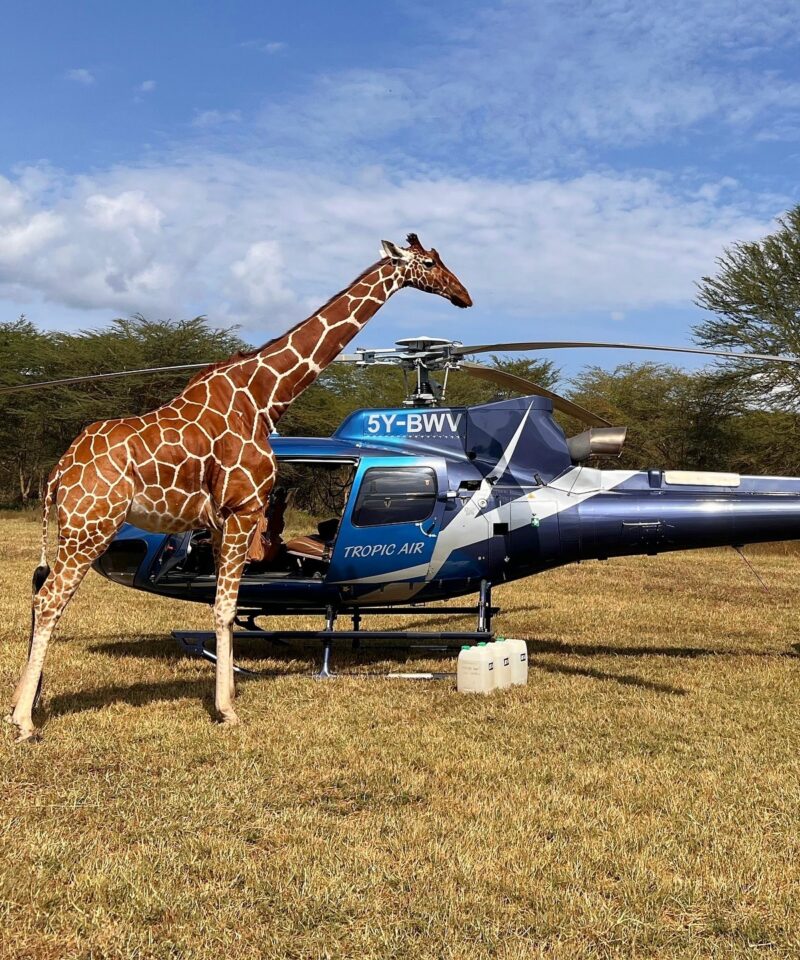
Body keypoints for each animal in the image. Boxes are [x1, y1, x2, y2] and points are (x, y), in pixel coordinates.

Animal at [6, 234, 472, 742]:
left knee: (39, 596)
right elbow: (226, 610)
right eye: (430, 263)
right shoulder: (244, 509)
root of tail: (58, 473)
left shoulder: (221, 521)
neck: (263, 397)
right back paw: (24, 720)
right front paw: (227, 708)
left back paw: (19, 707)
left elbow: (223, 608)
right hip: (91, 526)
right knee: (49, 600)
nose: (464, 296)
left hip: (77, 530)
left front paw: (226, 697)